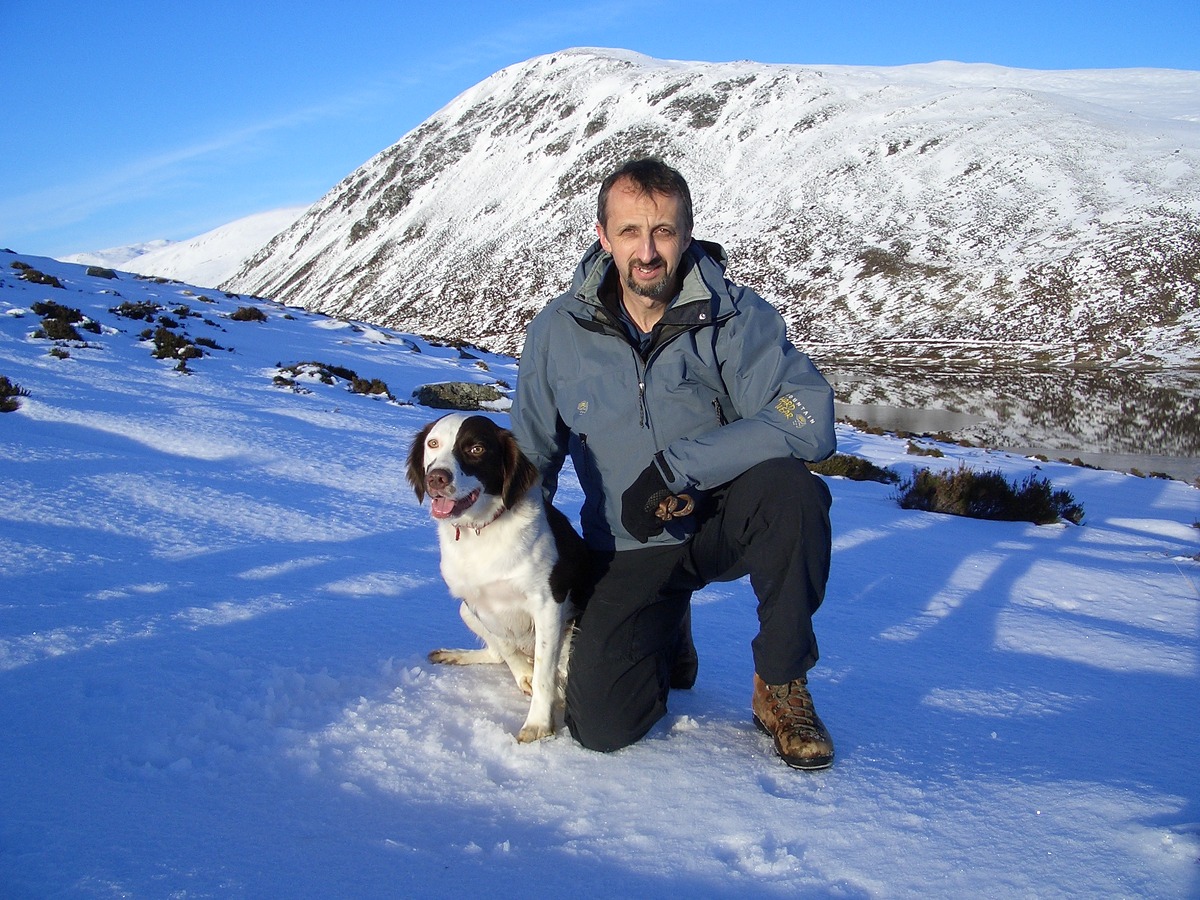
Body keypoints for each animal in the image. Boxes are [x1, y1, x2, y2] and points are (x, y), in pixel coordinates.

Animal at [405, 412, 588, 744]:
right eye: (433, 443)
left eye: (476, 449)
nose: (436, 478)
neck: (482, 529)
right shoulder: (477, 602)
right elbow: (505, 647)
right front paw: (525, 675)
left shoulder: (548, 605)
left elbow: (544, 672)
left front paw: (538, 724)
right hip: (463, 610)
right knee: (494, 653)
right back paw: (455, 655)